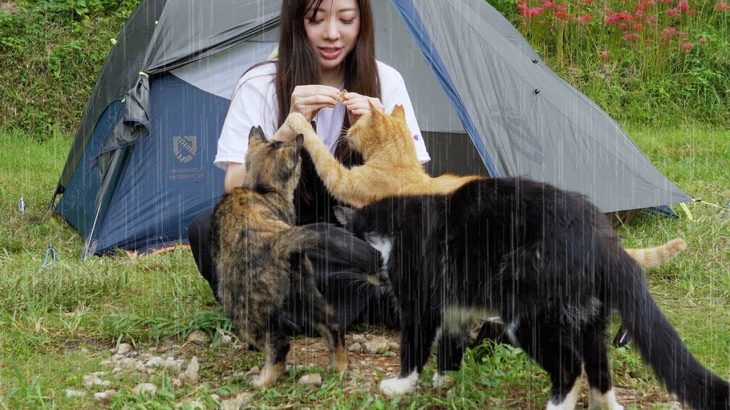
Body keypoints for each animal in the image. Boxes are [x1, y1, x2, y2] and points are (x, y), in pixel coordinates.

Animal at [282, 104, 684, 268]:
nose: (347, 130)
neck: (400, 161)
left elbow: (320, 155)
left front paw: (299, 120)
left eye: (358, 122)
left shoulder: (347, 183)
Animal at [334, 179, 724, 410]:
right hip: (590, 316)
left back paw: (556, 405)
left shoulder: (420, 301)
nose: (373, 279)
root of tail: (604, 241)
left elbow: (414, 345)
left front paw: (400, 386)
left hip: (528, 312)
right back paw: (605, 405)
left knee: (569, 366)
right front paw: (446, 378)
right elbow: (452, 342)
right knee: (598, 365)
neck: (392, 229)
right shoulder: (455, 306)